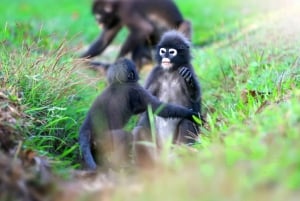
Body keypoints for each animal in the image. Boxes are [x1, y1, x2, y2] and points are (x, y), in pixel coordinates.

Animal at [133, 29, 202, 168]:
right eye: (163, 51)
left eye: (172, 52)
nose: (165, 57)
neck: (170, 71)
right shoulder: (155, 73)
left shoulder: (188, 68)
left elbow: (195, 99)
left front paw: (189, 81)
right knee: (139, 129)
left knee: (187, 121)